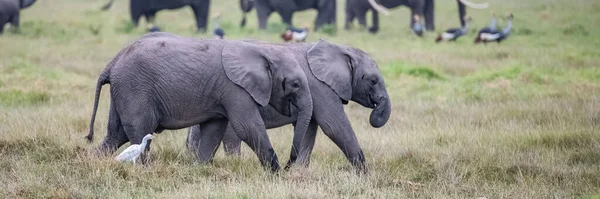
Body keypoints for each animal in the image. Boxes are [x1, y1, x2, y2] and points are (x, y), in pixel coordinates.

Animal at [89, 32, 316, 171]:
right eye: (295, 84)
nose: (289, 164)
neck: (263, 51)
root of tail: (112, 63)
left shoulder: (223, 93)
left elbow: (214, 130)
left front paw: (199, 169)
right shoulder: (235, 88)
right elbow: (247, 128)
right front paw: (277, 175)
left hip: (124, 89)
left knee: (116, 134)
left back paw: (97, 162)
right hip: (134, 88)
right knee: (139, 129)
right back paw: (145, 169)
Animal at [189, 39, 394, 173]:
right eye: (373, 81)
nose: (374, 115)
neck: (340, 49)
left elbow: (309, 129)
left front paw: (299, 171)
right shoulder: (321, 87)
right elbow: (333, 126)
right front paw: (365, 174)